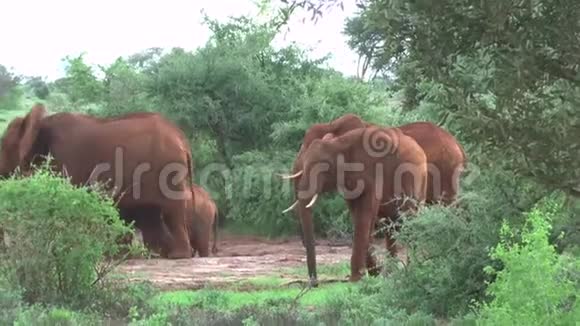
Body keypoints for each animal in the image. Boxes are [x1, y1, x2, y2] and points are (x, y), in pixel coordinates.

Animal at [0, 103, 196, 258]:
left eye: (3, 146)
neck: (38, 124)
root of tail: (182, 139)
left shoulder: (66, 161)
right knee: (151, 214)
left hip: (169, 170)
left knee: (172, 209)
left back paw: (176, 256)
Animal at [288, 125, 428, 286]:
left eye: (323, 169)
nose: (314, 284)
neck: (338, 144)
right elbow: (359, 216)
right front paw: (374, 274)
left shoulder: (374, 172)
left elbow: (365, 214)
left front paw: (356, 279)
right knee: (390, 226)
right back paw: (392, 273)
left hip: (416, 180)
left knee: (410, 218)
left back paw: (411, 270)